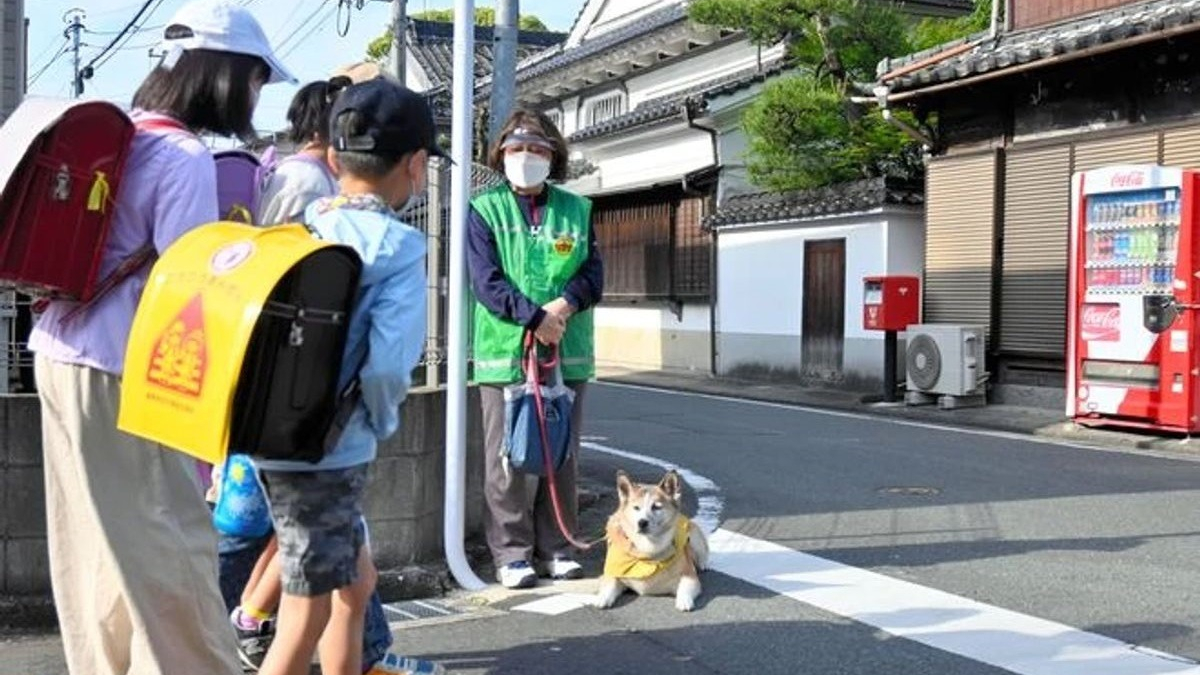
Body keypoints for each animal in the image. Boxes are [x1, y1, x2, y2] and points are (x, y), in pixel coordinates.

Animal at [595, 468, 705, 610]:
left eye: (656, 507)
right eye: (636, 508)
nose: (642, 522)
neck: (648, 551)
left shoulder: (689, 575)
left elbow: (685, 586)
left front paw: (684, 600)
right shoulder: (615, 572)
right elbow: (610, 583)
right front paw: (603, 597)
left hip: (694, 537)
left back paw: (702, 564)